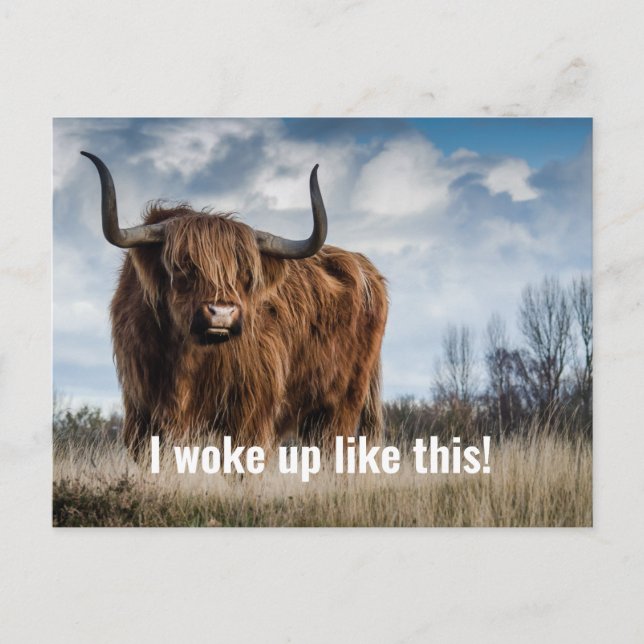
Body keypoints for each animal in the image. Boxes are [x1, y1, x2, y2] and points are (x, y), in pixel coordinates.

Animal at [81, 151, 388, 455]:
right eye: (183, 266)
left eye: (246, 273)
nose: (222, 313)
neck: (185, 359)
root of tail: (365, 267)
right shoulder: (142, 412)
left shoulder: (249, 413)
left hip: (342, 404)